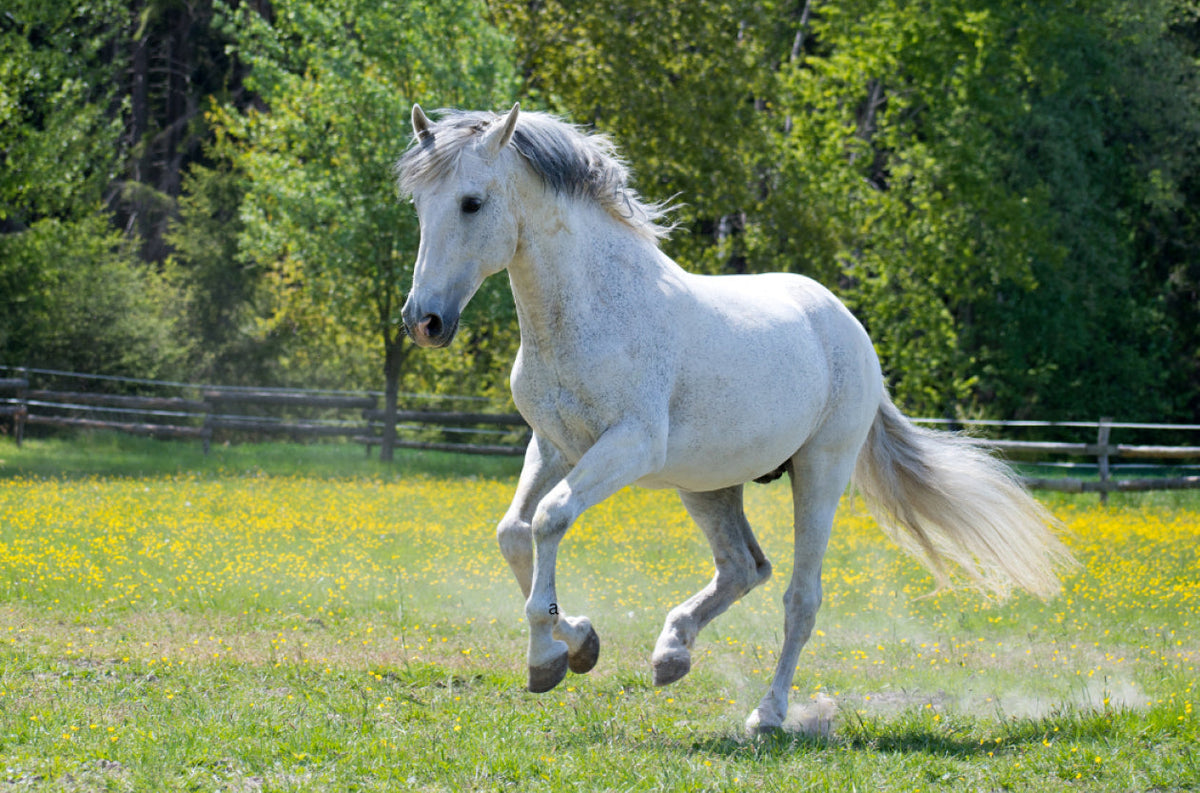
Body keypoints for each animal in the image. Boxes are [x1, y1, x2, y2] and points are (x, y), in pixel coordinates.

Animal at [395, 103, 1075, 734]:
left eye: (472, 203)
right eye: (419, 205)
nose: (424, 321)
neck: (592, 310)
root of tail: (848, 327)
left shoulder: (629, 446)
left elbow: (550, 519)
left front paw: (548, 658)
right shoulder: (553, 444)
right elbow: (514, 532)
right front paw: (575, 647)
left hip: (820, 471)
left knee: (800, 597)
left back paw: (767, 715)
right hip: (708, 485)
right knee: (744, 567)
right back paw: (672, 654)